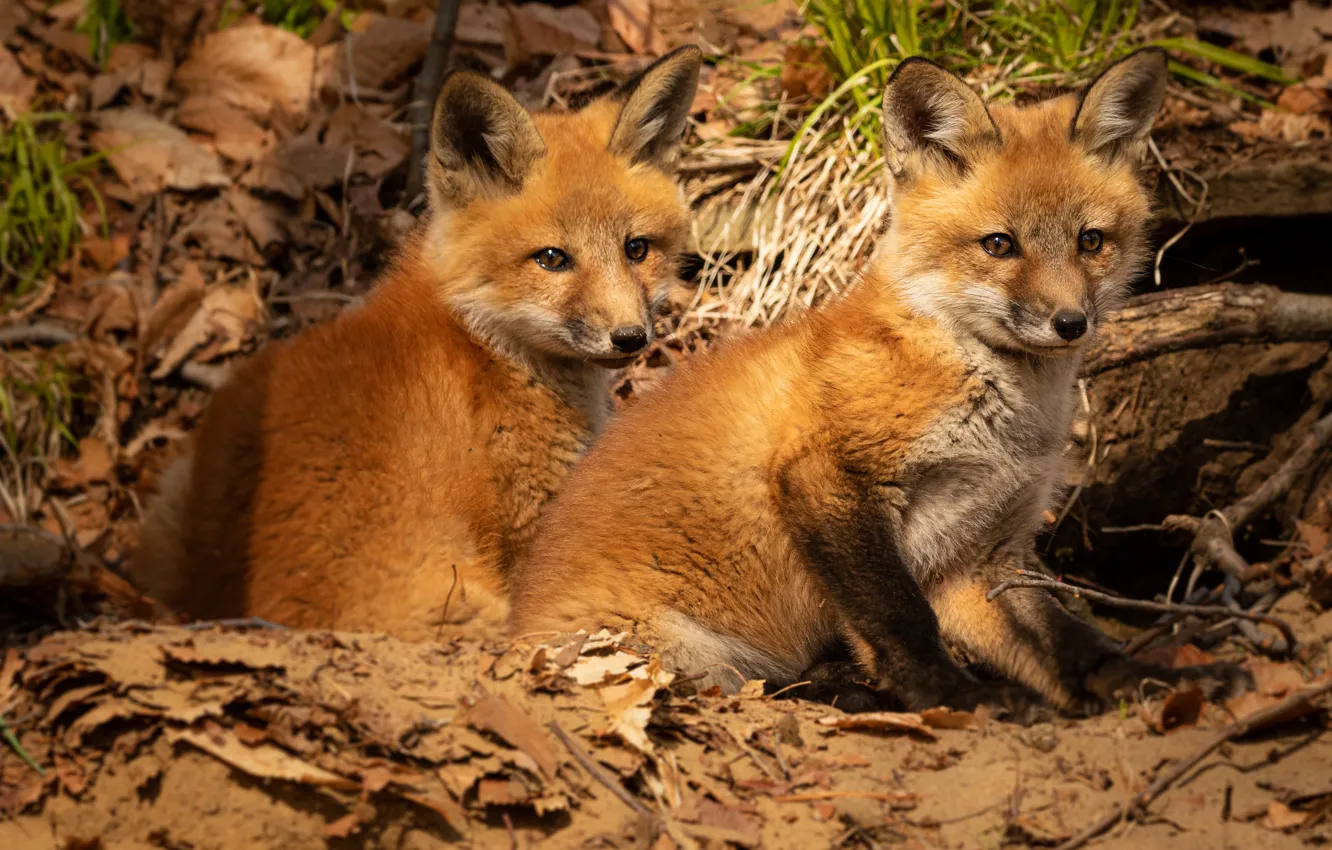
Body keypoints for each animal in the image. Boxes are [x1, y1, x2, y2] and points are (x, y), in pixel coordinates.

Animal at [508, 49, 1253, 716]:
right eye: (1000, 245)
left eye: (1090, 240)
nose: (1071, 322)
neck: (996, 420)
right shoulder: (828, 480)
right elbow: (901, 618)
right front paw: (957, 699)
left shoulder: (981, 557)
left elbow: (1074, 645)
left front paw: (1150, 683)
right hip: (676, 650)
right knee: (754, 692)